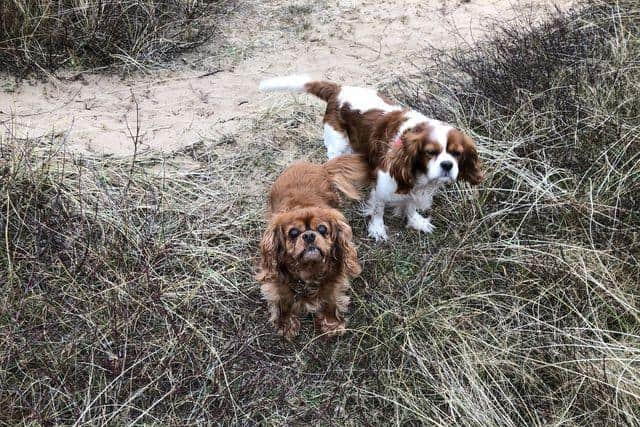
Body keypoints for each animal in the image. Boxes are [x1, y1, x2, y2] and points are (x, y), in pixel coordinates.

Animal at [258, 75, 482, 242]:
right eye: (430, 152)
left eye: (457, 153)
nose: (447, 165)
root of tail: (339, 89)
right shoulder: (384, 185)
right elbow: (378, 208)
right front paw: (377, 229)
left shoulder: (412, 187)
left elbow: (410, 205)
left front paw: (415, 221)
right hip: (337, 146)